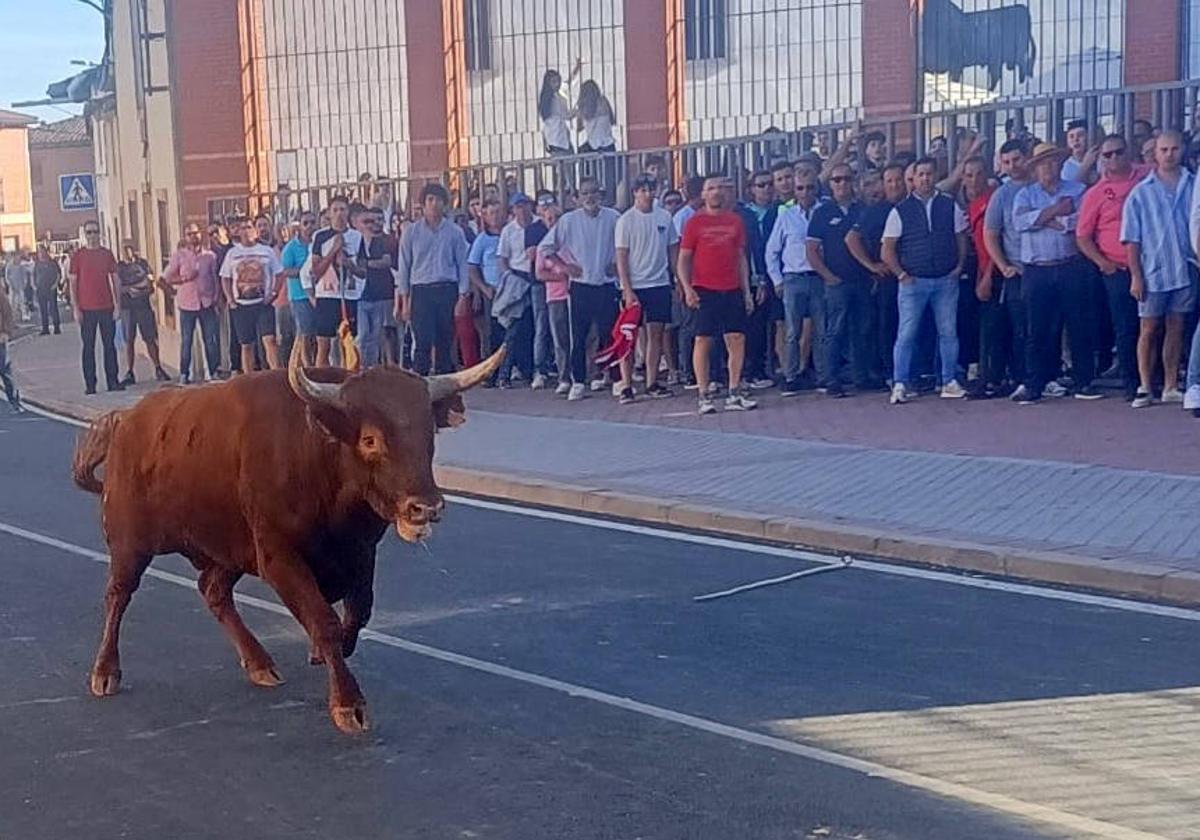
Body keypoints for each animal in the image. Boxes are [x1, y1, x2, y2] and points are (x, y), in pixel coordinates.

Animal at [73, 345, 501, 729]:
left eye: (429, 434)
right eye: (370, 439)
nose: (425, 507)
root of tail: (127, 419)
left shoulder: (361, 553)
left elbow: (357, 613)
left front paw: (323, 655)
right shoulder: (279, 556)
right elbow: (324, 620)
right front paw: (349, 704)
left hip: (230, 551)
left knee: (213, 591)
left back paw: (259, 664)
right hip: (130, 544)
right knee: (118, 595)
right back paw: (105, 672)